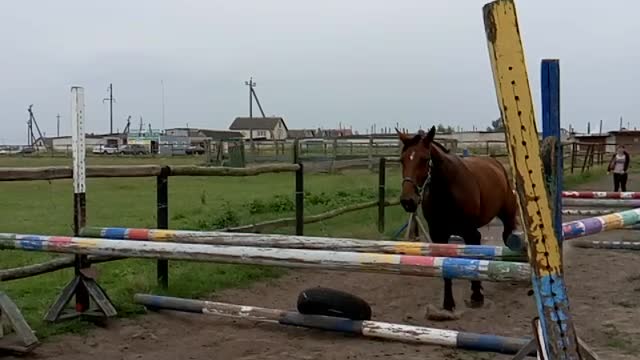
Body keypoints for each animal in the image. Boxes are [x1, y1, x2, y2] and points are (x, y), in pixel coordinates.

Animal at [396, 126, 520, 320]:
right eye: (402, 160)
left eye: (424, 159)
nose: (408, 201)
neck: (447, 190)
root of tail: (496, 164)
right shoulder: (439, 235)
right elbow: (446, 268)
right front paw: (448, 304)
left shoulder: (469, 232)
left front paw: (476, 296)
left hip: (504, 218)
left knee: (507, 238)